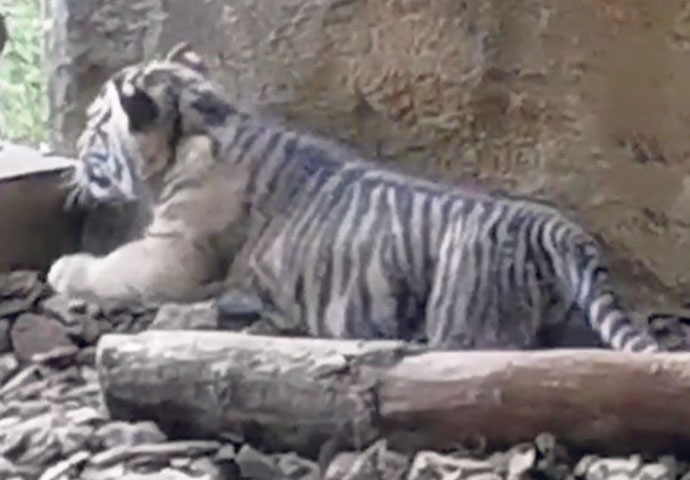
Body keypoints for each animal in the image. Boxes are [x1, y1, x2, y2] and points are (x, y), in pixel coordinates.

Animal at [47, 42, 661, 352]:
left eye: (93, 126)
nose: (74, 153)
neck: (202, 119)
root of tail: (549, 224)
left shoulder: (172, 253)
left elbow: (109, 268)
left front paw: (63, 268)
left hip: (467, 322)